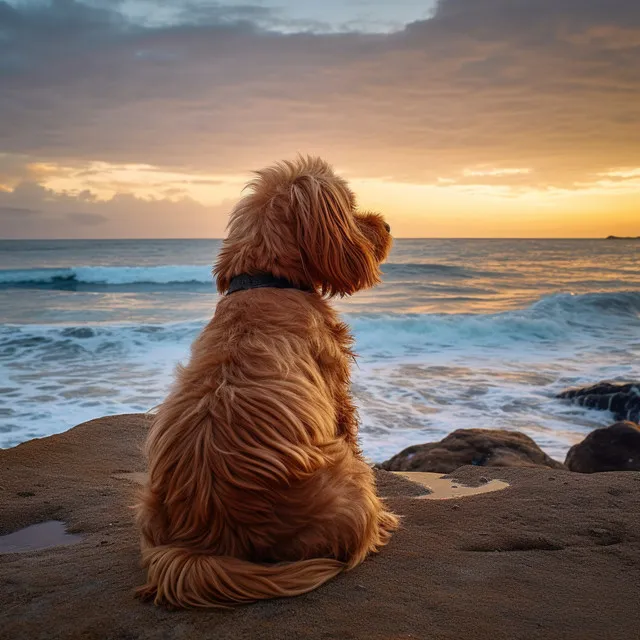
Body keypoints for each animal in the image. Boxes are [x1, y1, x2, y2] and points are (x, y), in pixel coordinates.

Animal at [136, 156, 400, 608]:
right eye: (351, 208)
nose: (385, 225)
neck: (265, 280)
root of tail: (207, 544)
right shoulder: (337, 391)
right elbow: (351, 430)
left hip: (147, 505)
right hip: (349, 485)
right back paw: (380, 524)